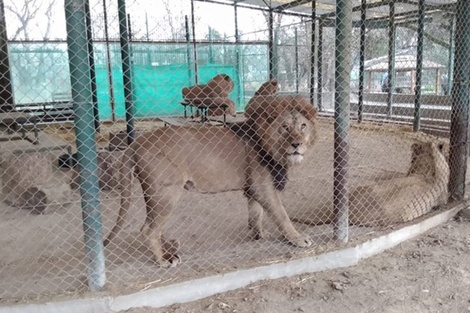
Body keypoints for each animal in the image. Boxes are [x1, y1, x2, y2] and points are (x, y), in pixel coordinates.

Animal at [105, 93, 320, 266]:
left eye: (303, 126)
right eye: (285, 127)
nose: (297, 144)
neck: (270, 144)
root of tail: (137, 142)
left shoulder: (252, 187)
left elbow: (255, 214)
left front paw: (260, 235)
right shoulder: (263, 186)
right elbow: (281, 214)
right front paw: (297, 238)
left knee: (151, 226)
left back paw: (170, 247)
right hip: (166, 193)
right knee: (148, 229)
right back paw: (164, 260)